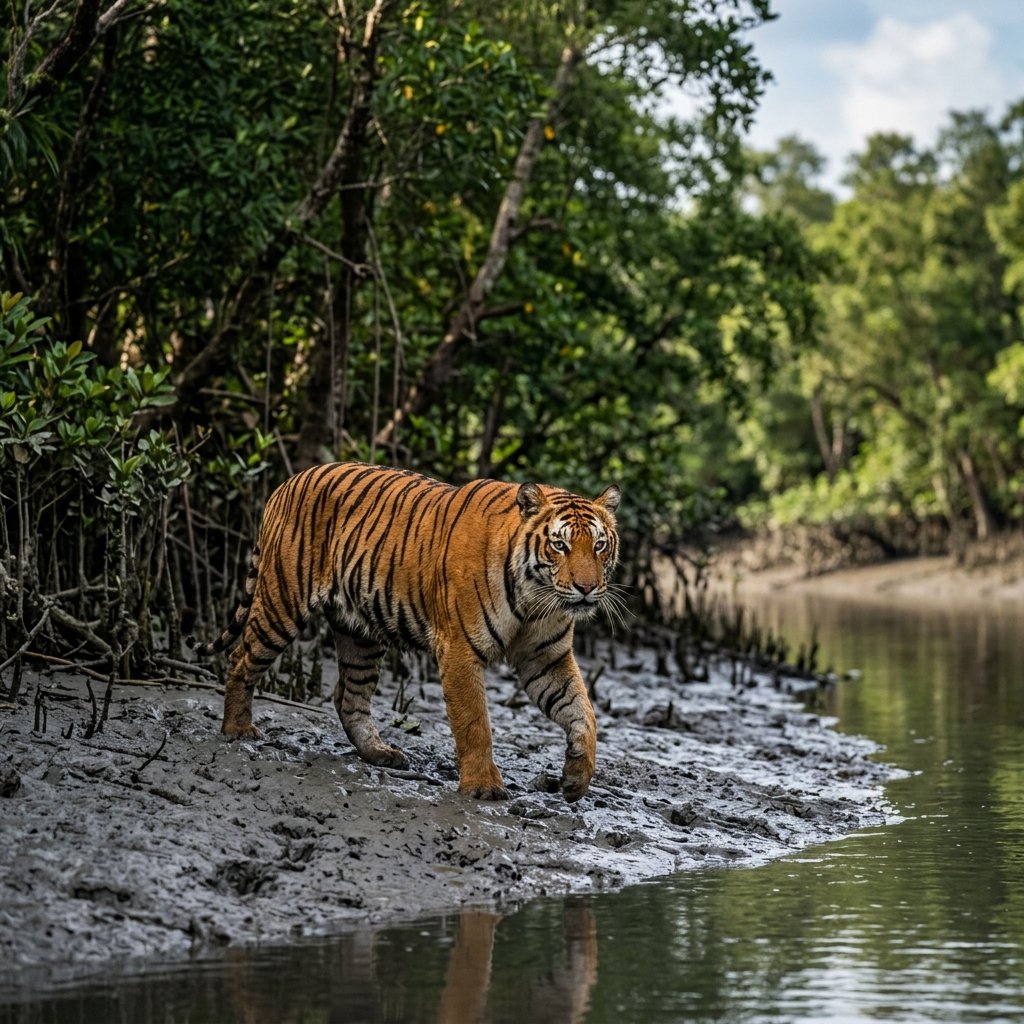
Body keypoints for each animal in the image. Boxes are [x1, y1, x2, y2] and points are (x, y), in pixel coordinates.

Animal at [187, 462, 621, 803]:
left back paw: (380, 753)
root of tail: (287, 481)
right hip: (281, 603)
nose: (586, 588)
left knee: (347, 696)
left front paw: (576, 779)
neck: (535, 599)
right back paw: (237, 729)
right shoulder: (459, 649)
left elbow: (583, 713)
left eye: (599, 545)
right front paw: (483, 786)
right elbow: (475, 721)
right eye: (560, 545)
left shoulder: (545, 658)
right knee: (241, 659)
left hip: (359, 635)